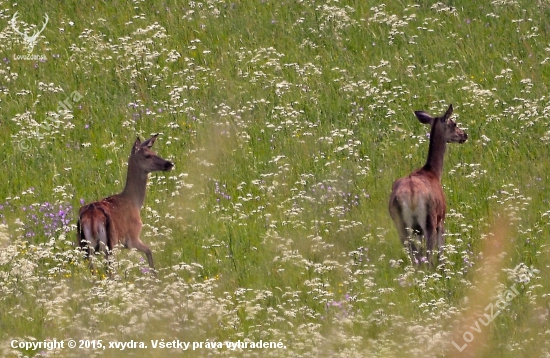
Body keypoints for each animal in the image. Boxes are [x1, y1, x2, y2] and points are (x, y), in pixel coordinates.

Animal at [76, 134, 174, 274]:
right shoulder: (132, 237)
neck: (134, 202)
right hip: (110, 243)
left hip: (84, 245)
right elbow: (149, 251)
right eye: (147, 155)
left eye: (154, 152)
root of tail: (92, 217)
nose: (169, 164)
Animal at [388, 103, 470, 266]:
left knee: (416, 257)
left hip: (401, 224)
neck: (434, 173)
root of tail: (412, 194)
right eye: (454, 123)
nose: (464, 135)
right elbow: (441, 250)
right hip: (429, 220)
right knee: (428, 256)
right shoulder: (441, 219)